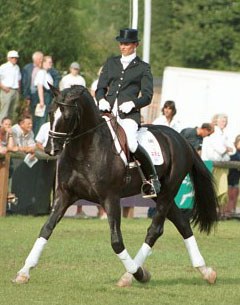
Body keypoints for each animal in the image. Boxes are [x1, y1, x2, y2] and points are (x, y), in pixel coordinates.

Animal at [14, 85, 218, 284]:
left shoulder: (110, 198)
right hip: (161, 194)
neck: (84, 150)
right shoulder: (65, 194)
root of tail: (181, 139)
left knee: (155, 230)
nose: (50, 149)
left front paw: (139, 273)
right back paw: (205, 270)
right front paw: (24, 272)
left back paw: (130, 275)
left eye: (67, 116)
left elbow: (116, 241)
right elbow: (46, 229)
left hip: (168, 191)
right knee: (182, 223)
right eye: (50, 112)